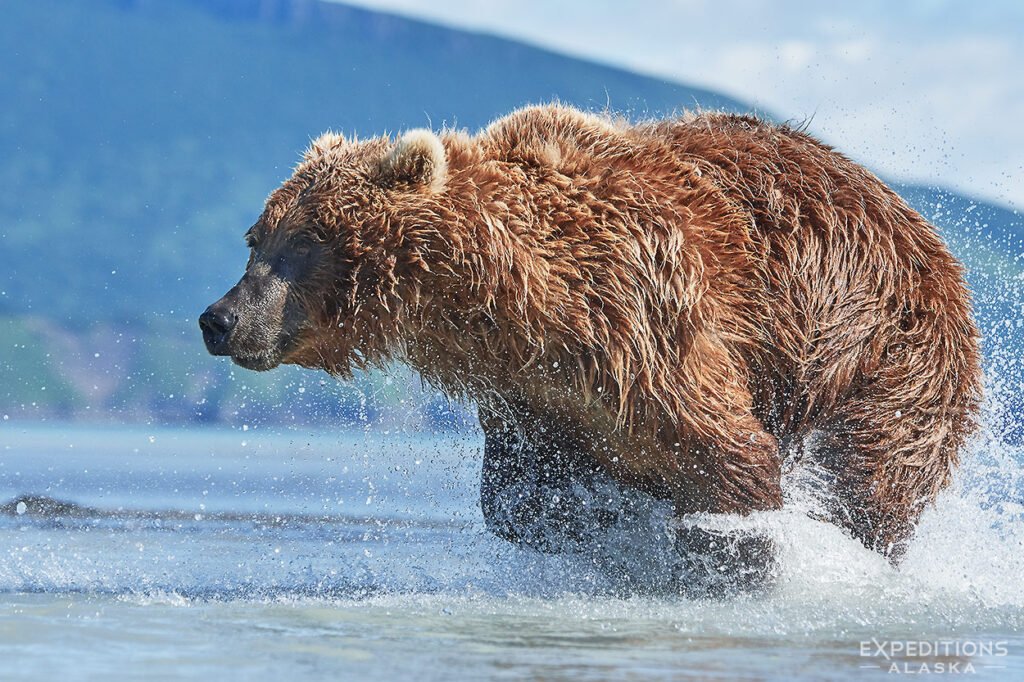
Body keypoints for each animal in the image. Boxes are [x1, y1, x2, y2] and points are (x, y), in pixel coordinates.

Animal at [201, 103, 983, 593]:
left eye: (305, 240)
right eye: (256, 237)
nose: (220, 318)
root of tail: (932, 243)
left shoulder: (650, 319)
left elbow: (731, 461)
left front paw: (720, 550)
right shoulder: (535, 391)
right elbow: (517, 493)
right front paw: (603, 517)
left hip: (879, 350)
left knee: (868, 474)